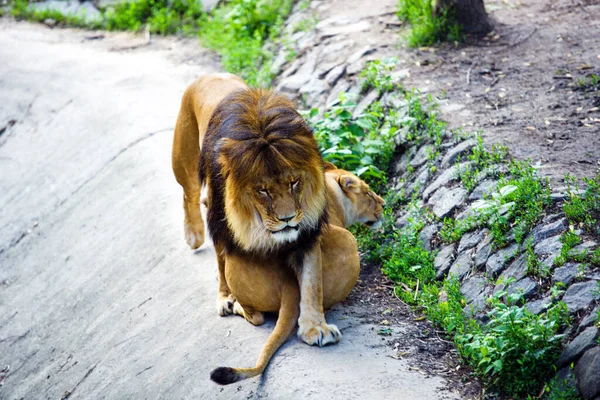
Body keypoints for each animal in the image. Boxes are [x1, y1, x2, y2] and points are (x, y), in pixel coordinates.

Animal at [173, 74, 338, 346]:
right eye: (263, 191)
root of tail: (208, 76)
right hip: (183, 161)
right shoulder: (221, 223)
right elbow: (224, 264)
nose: (287, 219)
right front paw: (228, 299)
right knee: (190, 193)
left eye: (294, 182)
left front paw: (315, 327)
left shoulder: (306, 232)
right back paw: (193, 235)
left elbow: (312, 282)